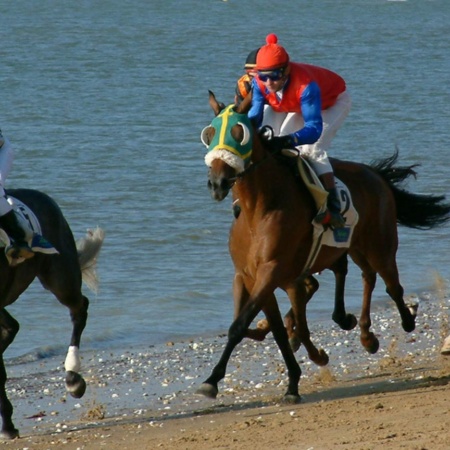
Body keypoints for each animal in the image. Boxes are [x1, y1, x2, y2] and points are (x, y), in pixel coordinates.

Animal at [198, 92, 450, 404]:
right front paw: (292, 381)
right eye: (209, 134)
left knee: (392, 285)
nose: (217, 183)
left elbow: (240, 324)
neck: (258, 209)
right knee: (366, 276)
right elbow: (274, 329)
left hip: (380, 244)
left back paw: (405, 319)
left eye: (238, 133)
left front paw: (212, 380)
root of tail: (374, 173)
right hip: (353, 246)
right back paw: (364, 332)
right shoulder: (251, 275)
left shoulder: (272, 270)